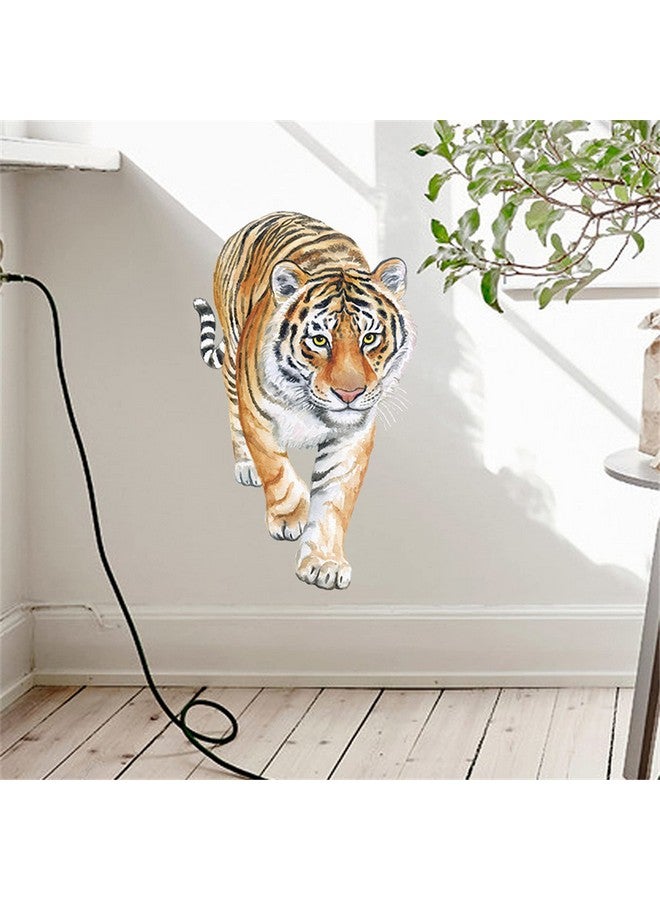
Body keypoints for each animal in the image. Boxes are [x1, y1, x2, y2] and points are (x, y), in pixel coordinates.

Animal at [193, 212, 414, 590]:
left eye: (370, 338)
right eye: (320, 340)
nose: (349, 394)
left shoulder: (352, 436)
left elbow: (334, 500)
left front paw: (325, 562)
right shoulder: (258, 415)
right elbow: (276, 469)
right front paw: (290, 516)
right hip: (234, 359)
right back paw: (246, 466)